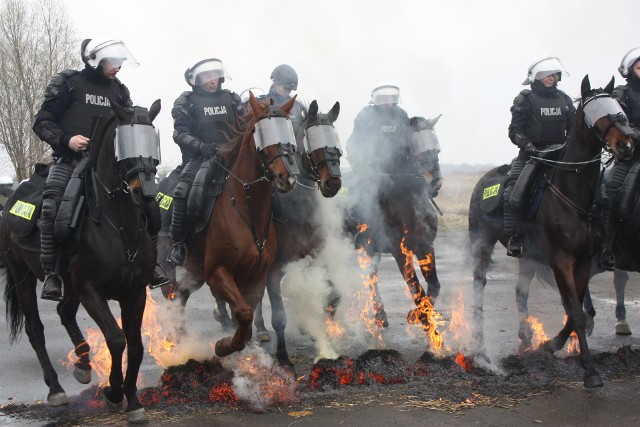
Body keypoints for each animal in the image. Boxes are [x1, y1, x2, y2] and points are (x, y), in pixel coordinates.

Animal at [1, 100, 161, 424]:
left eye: (152, 139)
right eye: (122, 141)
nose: (146, 192)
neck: (120, 226)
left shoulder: (135, 292)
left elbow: (136, 346)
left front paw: (133, 400)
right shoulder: (90, 289)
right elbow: (116, 339)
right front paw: (114, 393)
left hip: (69, 285)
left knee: (64, 312)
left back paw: (84, 363)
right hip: (22, 273)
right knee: (36, 329)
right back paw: (55, 388)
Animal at [468, 76, 636, 388]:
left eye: (618, 107)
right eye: (597, 111)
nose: (627, 145)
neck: (574, 194)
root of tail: (484, 179)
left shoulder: (584, 261)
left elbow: (576, 310)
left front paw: (551, 345)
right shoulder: (562, 261)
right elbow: (576, 313)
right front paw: (590, 371)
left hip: (528, 255)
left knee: (520, 292)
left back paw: (526, 339)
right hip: (481, 243)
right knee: (479, 285)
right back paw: (479, 339)